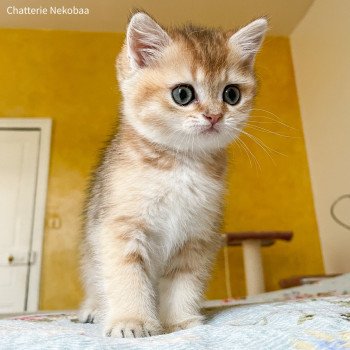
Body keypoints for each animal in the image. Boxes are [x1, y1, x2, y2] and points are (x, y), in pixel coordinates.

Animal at [78, 12, 266, 338]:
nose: (214, 116)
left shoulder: (197, 235)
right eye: (183, 94)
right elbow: (126, 274)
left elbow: (183, 281)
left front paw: (178, 322)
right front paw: (132, 321)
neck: (180, 165)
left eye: (231, 94)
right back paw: (93, 309)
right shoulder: (119, 226)